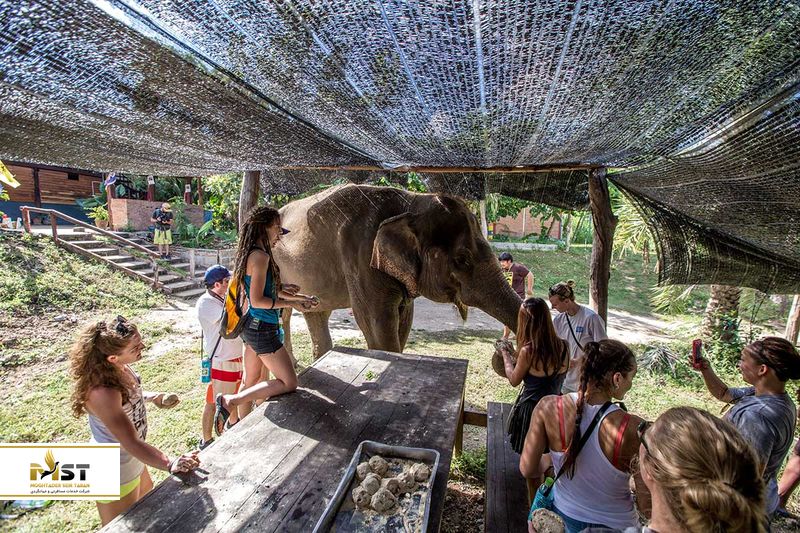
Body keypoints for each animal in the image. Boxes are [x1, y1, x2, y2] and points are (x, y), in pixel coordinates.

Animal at [273, 184, 522, 359]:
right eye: (462, 259)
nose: (503, 347)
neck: (411, 201)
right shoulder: (360, 257)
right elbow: (376, 322)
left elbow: (405, 319)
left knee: (312, 313)